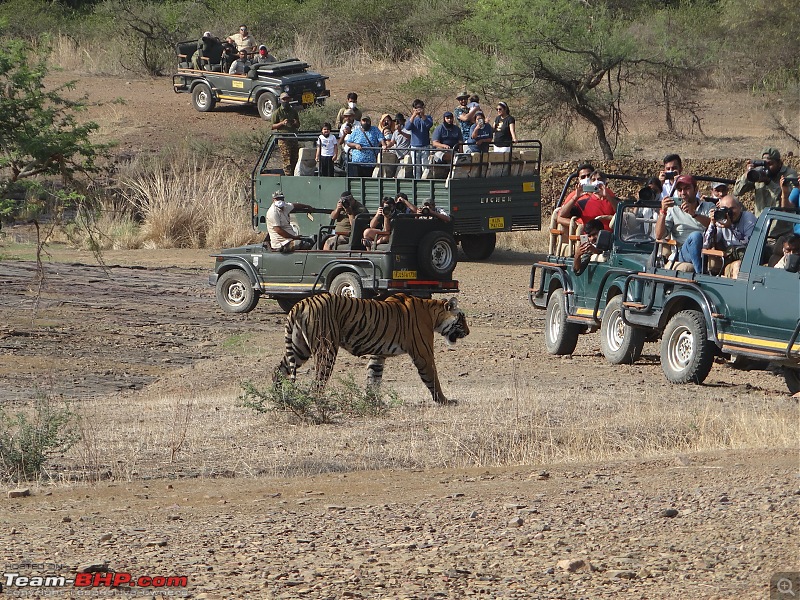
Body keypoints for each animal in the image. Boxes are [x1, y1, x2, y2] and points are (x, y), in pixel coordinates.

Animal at [276, 292, 468, 404]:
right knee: (318, 381)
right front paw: (444, 400)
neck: (432, 313)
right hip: (326, 348)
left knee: (279, 370)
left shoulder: (378, 354)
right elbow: (433, 378)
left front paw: (372, 401)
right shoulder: (423, 353)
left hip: (299, 349)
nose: (468, 332)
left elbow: (373, 377)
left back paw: (278, 396)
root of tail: (301, 302)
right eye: (462, 318)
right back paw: (318, 402)